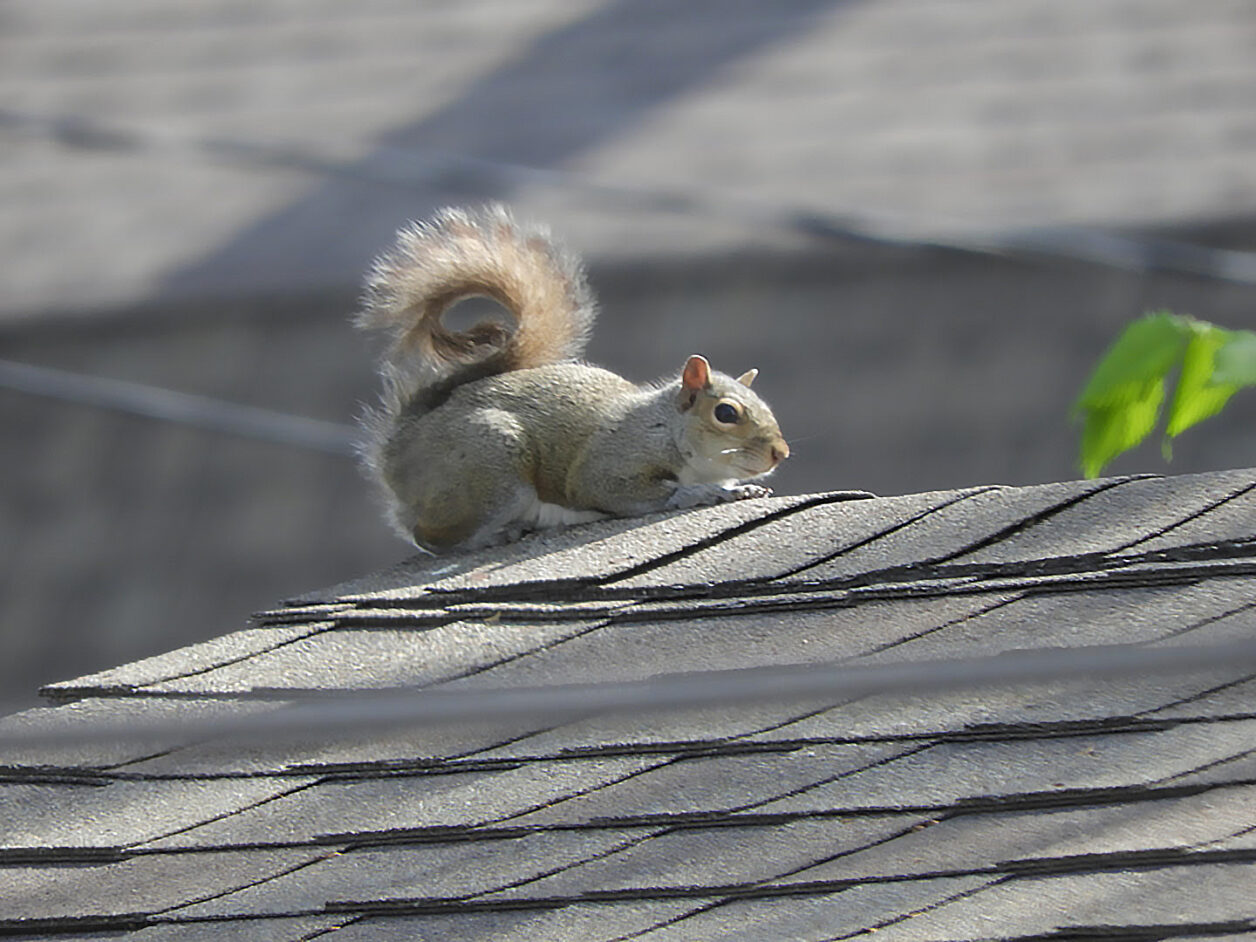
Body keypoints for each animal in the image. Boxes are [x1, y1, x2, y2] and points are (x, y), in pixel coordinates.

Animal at [356, 203, 783, 550]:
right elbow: (623, 489)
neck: (664, 425)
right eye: (726, 413)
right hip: (491, 464)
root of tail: (399, 451)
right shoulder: (610, 464)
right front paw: (701, 494)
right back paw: (492, 535)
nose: (781, 452)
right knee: (430, 536)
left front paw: (742, 489)